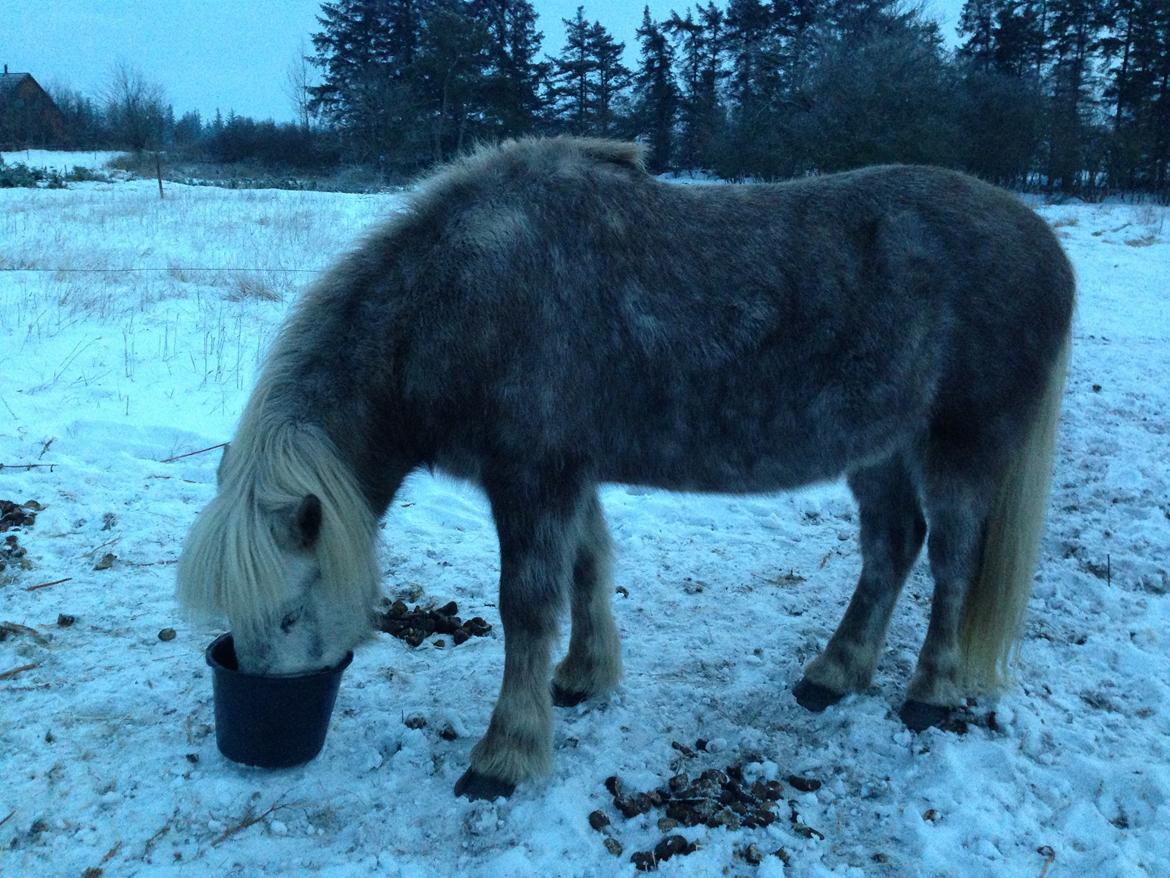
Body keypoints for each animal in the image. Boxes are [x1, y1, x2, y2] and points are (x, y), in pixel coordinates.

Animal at [177, 135, 1071, 796]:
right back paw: (834, 673)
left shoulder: (533, 478)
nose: (262, 728)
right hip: (878, 448)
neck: (462, 296)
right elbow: (587, 570)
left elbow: (527, 607)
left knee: (951, 560)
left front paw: (506, 755)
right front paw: (582, 680)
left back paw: (929, 695)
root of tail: (1045, 243)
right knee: (892, 547)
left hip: (959, 445)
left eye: (288, 615)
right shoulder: (569, 474)